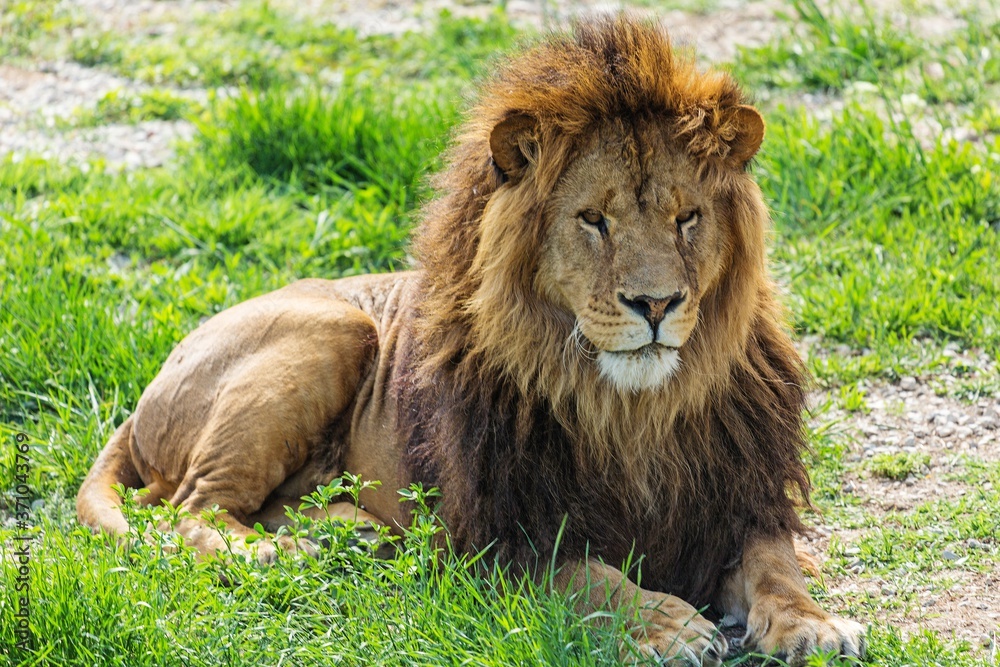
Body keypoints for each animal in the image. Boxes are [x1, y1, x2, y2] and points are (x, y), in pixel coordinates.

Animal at [74, 15, 864, 667]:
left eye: (687, 218)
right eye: (593, 219)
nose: (657, 303)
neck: (631, 409)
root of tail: (144, 398)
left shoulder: (738, 503)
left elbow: (775, 566)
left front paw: (814, 623)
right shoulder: (501, 532)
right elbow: (590, 576)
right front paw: (664, 624)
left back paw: (346, 531)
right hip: (335, 330)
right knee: (189, 508)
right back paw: (287, 554)